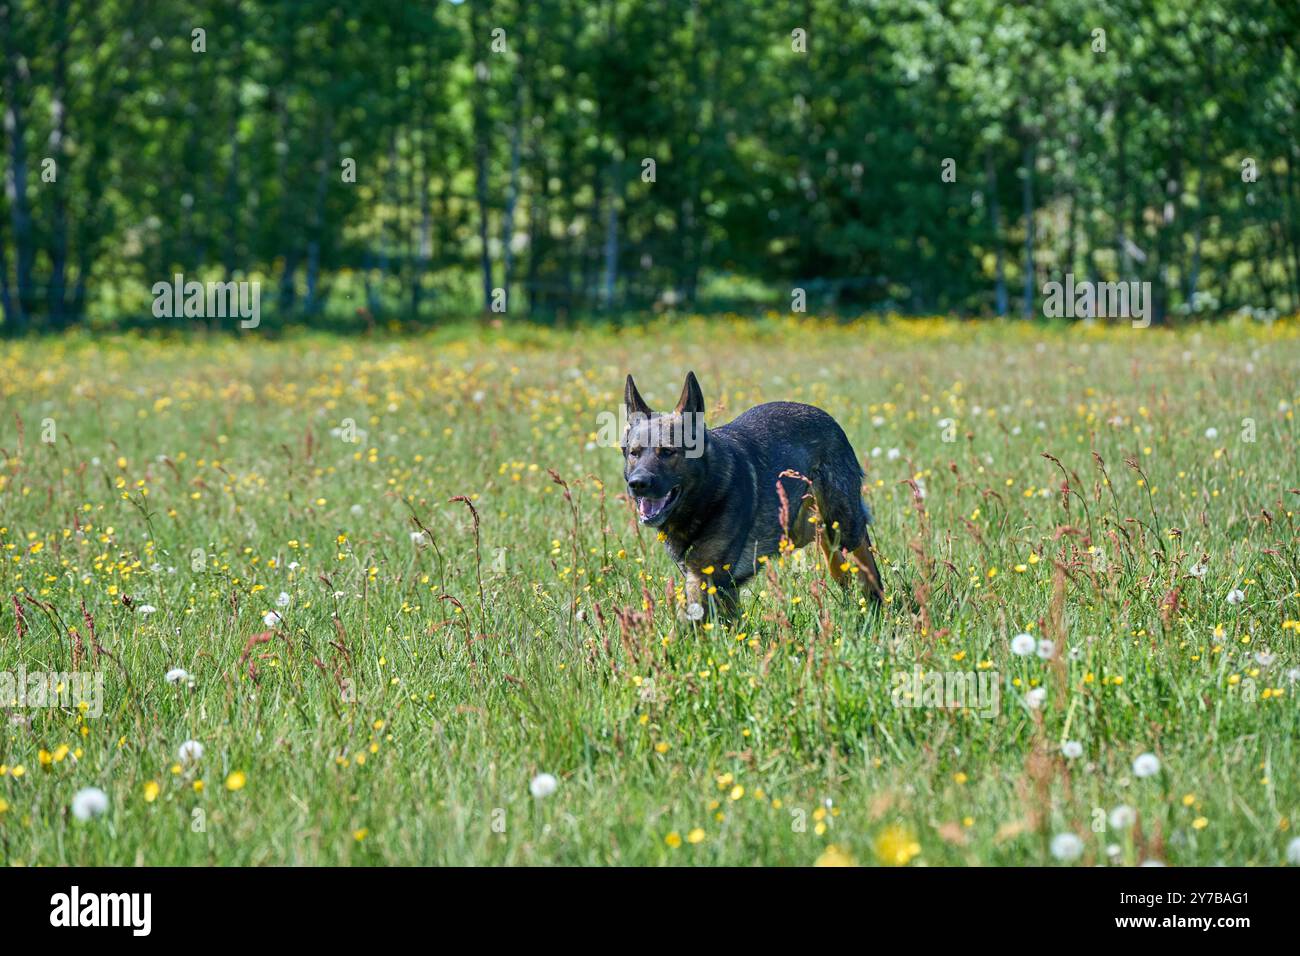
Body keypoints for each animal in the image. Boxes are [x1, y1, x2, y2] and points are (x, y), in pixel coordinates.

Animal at [618, 369, 883, 624]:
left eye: (668, 452)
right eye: (634, 453)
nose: (637, 484)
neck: (707, 492)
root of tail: (826, 417)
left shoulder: (703, 578)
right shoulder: (717, 585)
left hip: (842, 524)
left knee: (864, 554)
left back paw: (876, 602)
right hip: (805, 530)